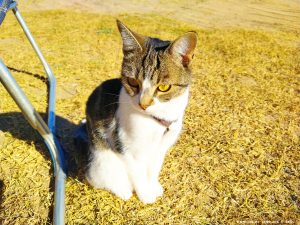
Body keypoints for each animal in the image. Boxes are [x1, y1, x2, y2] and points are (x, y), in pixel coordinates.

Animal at [85, 19, 197, 204]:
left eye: (164, 87)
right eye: (132, 82)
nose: (143, 104)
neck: (156, 120)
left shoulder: (161, 148)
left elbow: (154, 169)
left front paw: (154, 186)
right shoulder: (126, 146)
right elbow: (138, 174)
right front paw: (146, 195)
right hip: (102, 159)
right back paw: (123, 190)